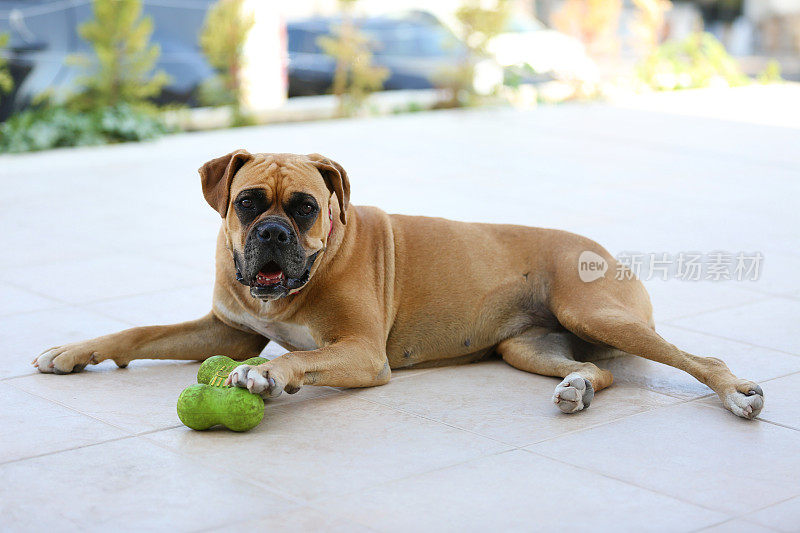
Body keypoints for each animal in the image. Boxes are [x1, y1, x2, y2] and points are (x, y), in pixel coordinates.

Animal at [34, 148, 764, 418]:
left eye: (305, 207)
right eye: (247, 202)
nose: (272, 234)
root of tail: (604, 251)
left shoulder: (360, 352)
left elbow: (297, 358)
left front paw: (268, 377)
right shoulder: (227, 329)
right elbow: (141, 330)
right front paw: (72, 351)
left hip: (598, 314)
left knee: (701, 359)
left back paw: (737, 393)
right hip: (526, 346)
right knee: (599, 371)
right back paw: (577, 387)